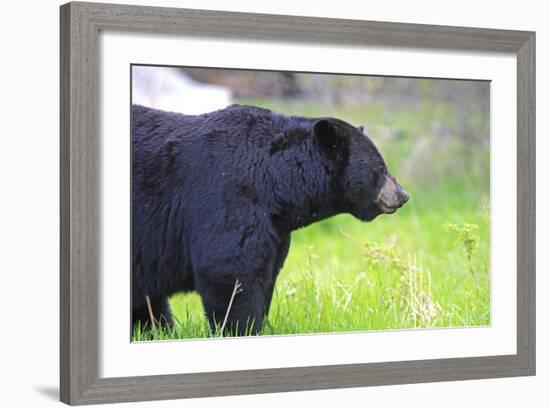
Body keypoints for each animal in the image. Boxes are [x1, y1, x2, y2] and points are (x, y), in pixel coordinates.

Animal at [133, 103, 410, 336]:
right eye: (380, 169)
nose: (403, 195)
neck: (274, 180)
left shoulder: (275, 229)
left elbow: (266, 273)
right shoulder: (228, 196)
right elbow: (229, 269)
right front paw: (242, 329)